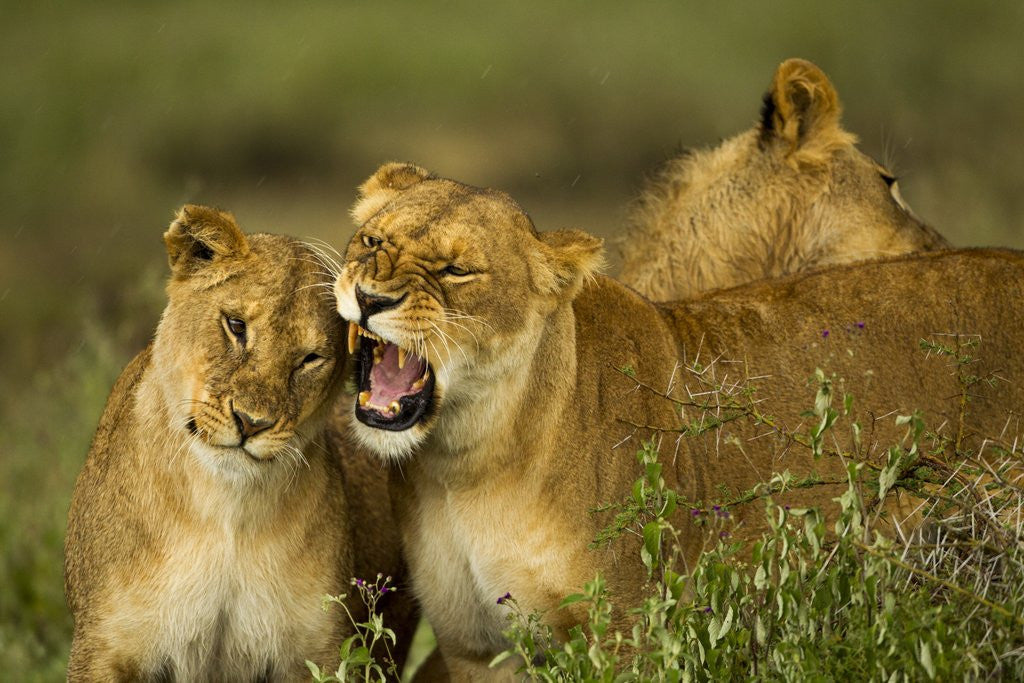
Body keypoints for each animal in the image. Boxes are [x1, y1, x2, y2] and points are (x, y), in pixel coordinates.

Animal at [64, 206, 417, 681]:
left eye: (310, 359)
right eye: (235, 326)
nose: (251, 423)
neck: (226, 511)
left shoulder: (320, 652)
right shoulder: (104, 646)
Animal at [332, 163, 1022, 680]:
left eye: (456, 270)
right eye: (372, 242)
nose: (369, 298)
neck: (468, 463)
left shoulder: (627, 635)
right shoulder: (478, 647)